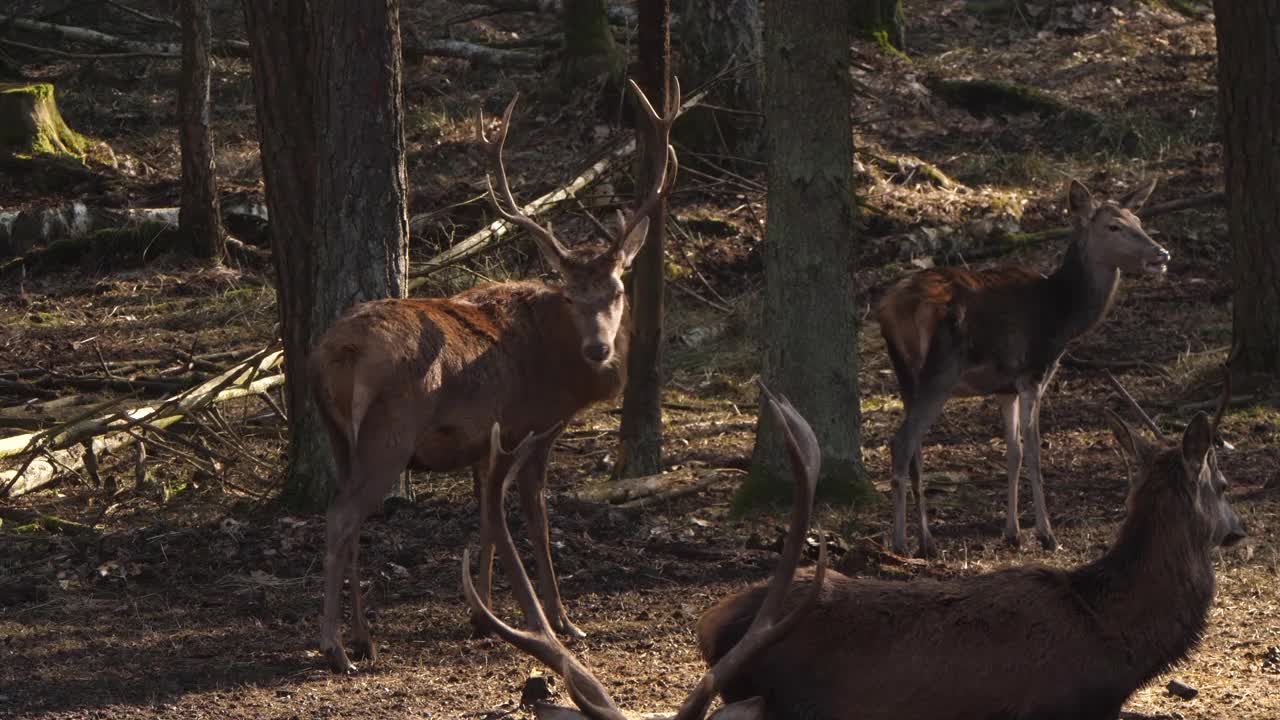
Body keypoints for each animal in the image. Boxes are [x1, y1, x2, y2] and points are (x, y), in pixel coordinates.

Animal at [308, 79, 680, 671]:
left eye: (618, 290)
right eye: (571, 295)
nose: (599, 348)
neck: (556, 368)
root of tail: (334, 353)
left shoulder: (483, 444)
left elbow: (485, 518)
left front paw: (481, 614)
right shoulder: (531, 425)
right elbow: (533, 515)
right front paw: (560, 620)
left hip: (337, 433)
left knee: (349, 516)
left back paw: (365, 637)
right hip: (390, 431)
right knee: (342, 515)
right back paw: (335, 647)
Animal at [880, 179, 1172, 556]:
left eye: (1138, 219)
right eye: (1114, 227)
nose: (1161, 255)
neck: (1063, 315)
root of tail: (889, 310)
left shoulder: (1005, 388)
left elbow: (1013, 451)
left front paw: (1012, 532)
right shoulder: (1033, 374)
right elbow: (1033, 451)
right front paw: (1047, 534)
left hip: (906, 374)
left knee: (914, 446)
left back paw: (927, 540)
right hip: (940, 372)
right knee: (902, 442)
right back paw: (900, 542)